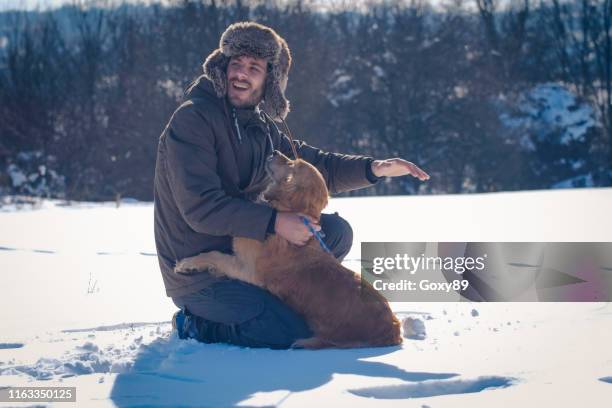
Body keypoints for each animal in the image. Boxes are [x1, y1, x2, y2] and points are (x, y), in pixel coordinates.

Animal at [173, 151, 402, 350]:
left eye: (292, 164)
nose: (274, 151)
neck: (289, 209)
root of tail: (394, 330)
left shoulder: (247, 269)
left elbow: (215, 255)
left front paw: (187, 265)